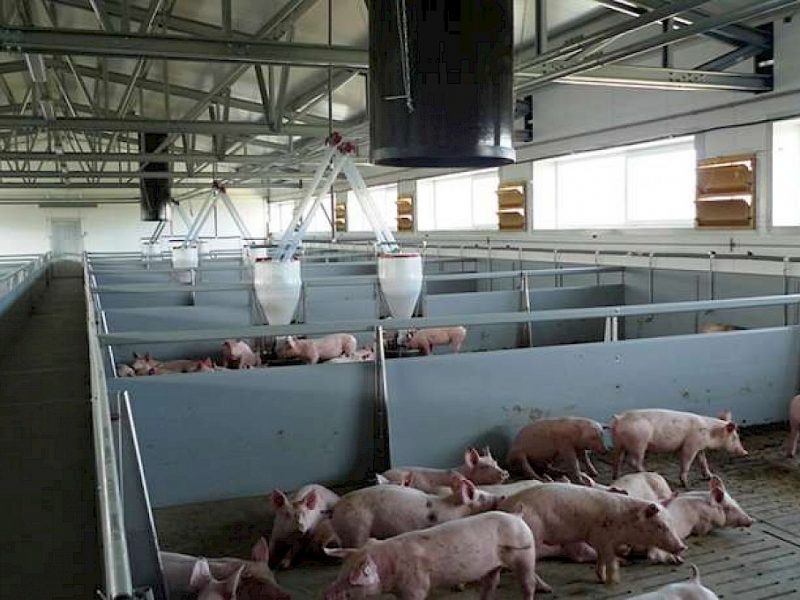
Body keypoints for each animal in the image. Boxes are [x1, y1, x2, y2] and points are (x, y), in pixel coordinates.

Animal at [323, 512, 549, 600]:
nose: (326, 594)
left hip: (525, 555)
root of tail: (518, 517)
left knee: (528, 584)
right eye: (341, 571)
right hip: (493, 566)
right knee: (491, 583)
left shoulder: (416, 586)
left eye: (352, 579)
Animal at [500, 482, 686, 584]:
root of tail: (506, 508)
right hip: (534, 537)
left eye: (672, 523)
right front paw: (614, 581)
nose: (683, 547)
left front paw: (601, 578)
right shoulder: (602, 537)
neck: (624, 524)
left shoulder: (599, 541)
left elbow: (601, 559)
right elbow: (609, 558)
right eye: (660, 526)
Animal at [610, 409, 748, 487]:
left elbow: (703, 461)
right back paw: (648, 473)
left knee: (618, 459)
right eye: (734, 437)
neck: (709, 433)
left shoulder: (700, 447)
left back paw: (616, 477)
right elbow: (687, 461)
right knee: (633, 461)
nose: (745, 452)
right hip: (639, 442)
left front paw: (710, 476)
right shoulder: (691, 445)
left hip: (618, 443)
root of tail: (619, 419)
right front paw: (685, 484)